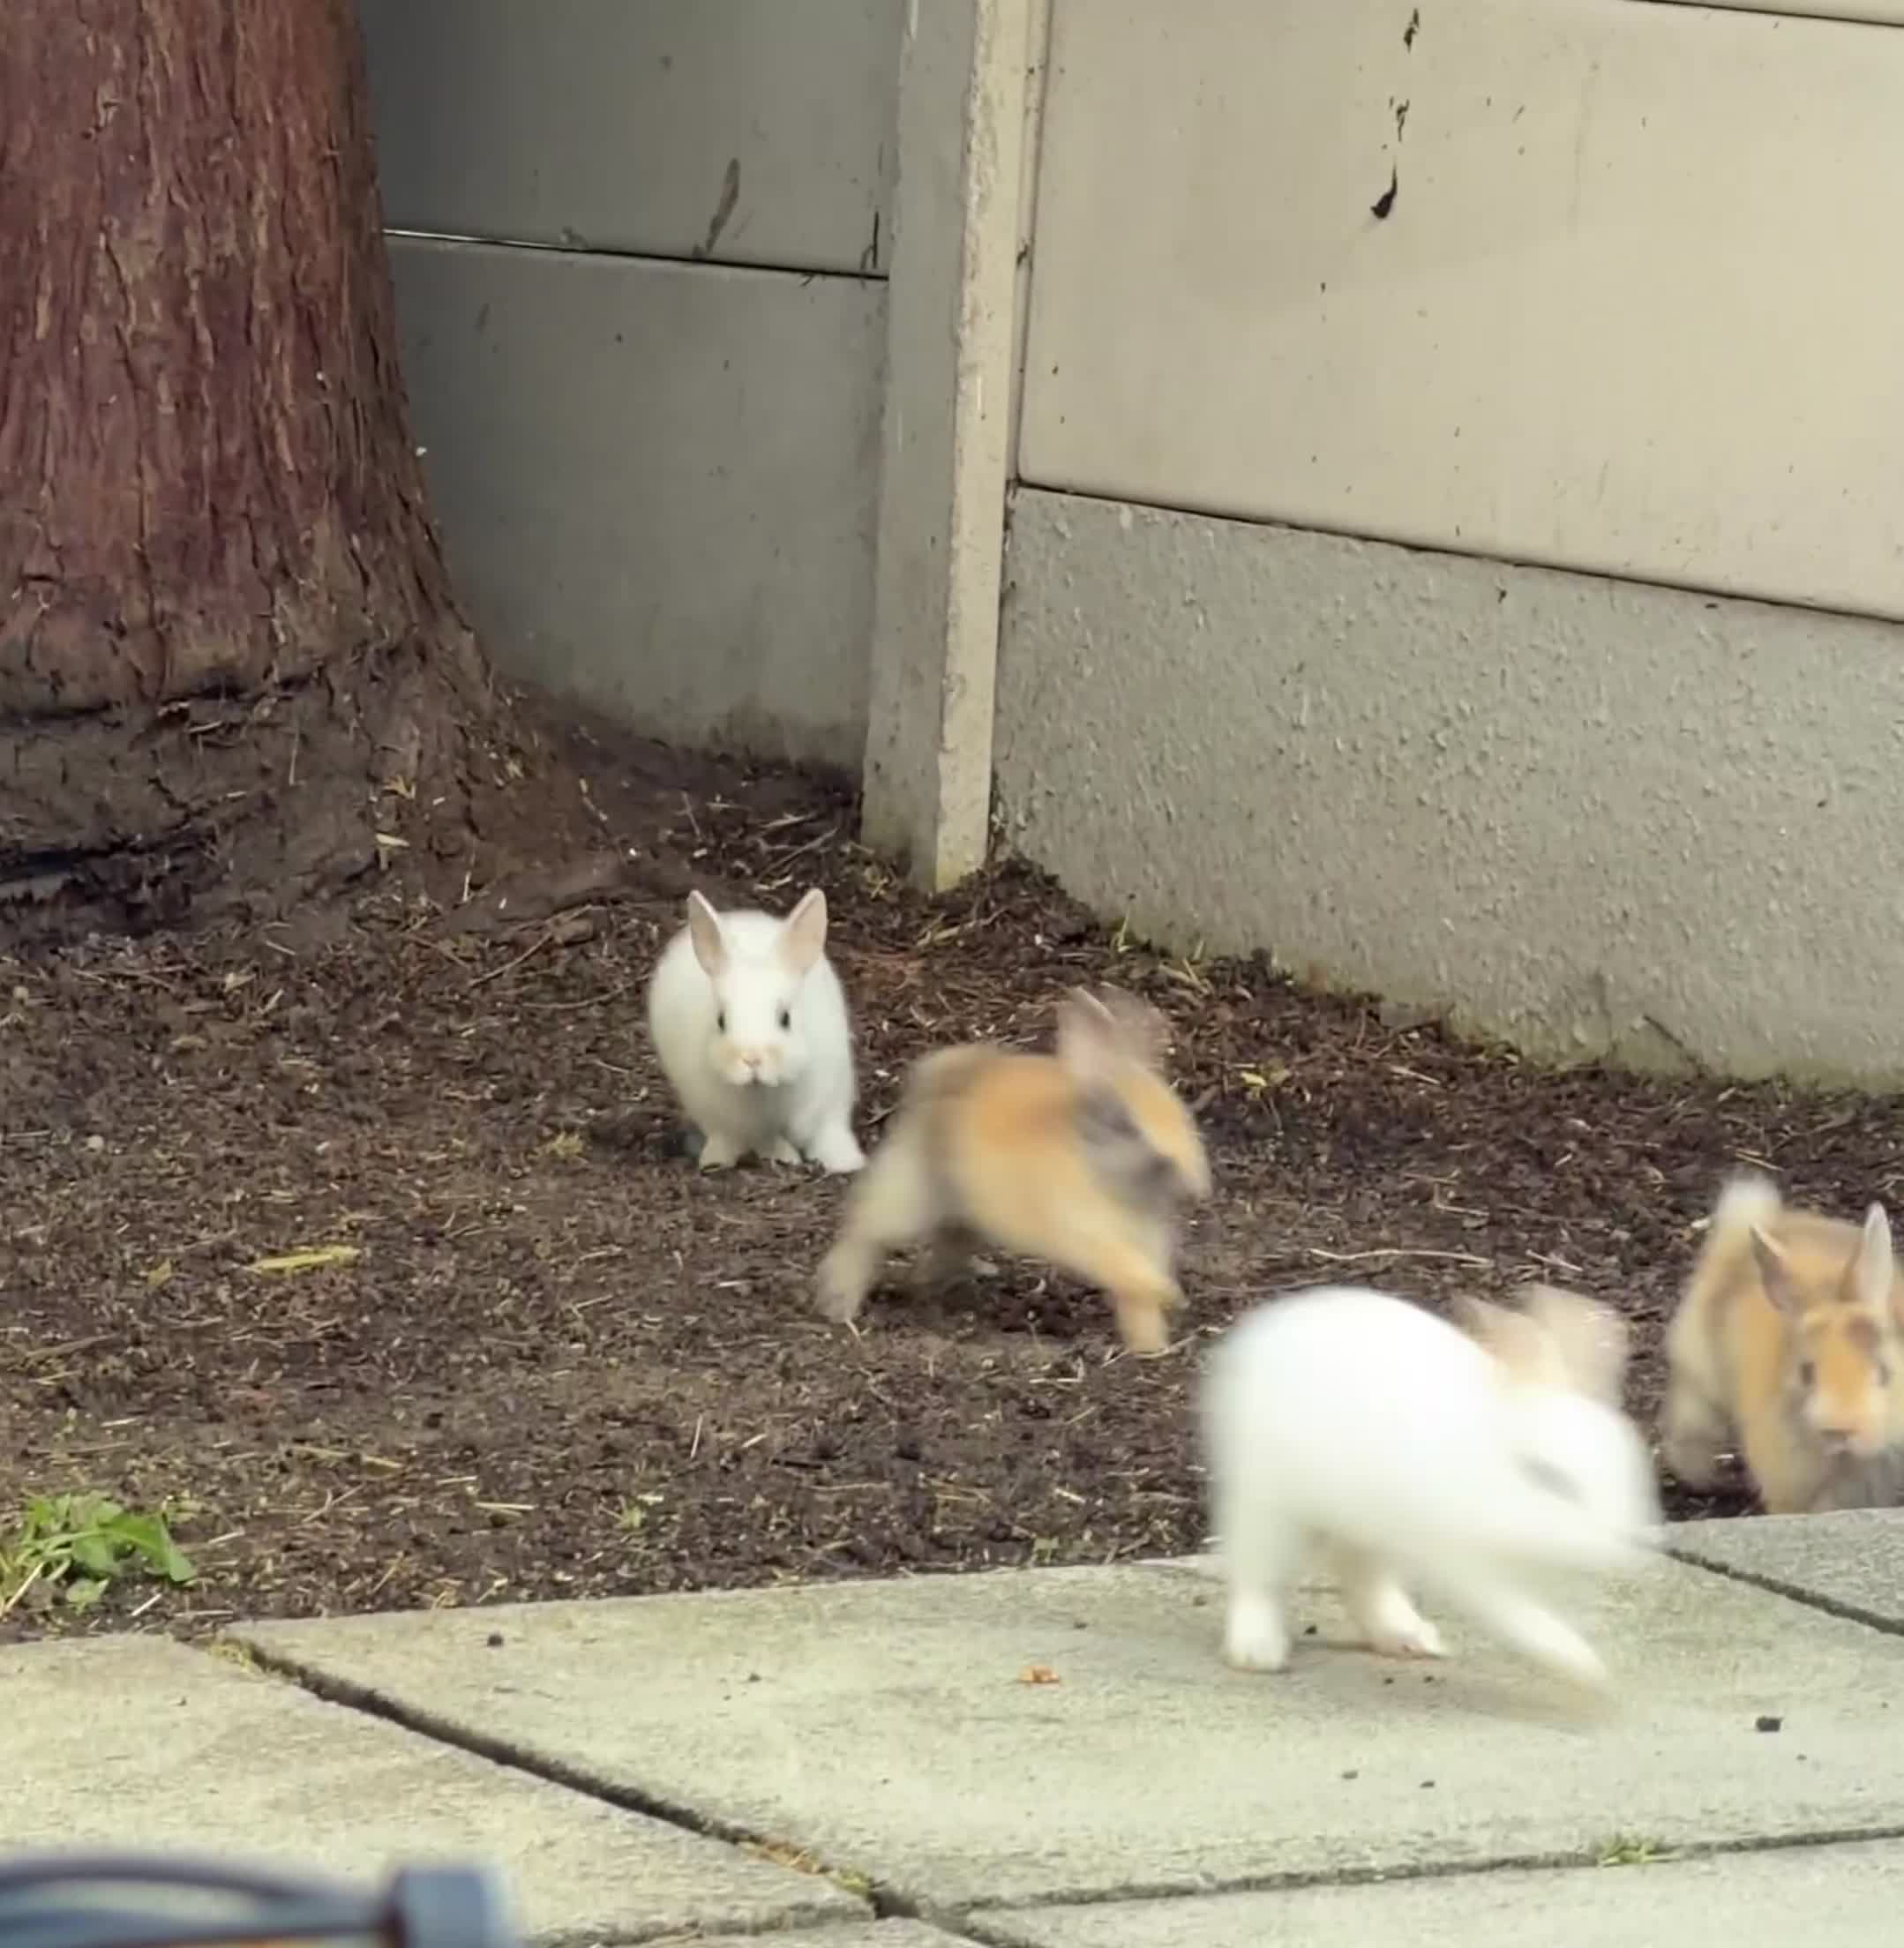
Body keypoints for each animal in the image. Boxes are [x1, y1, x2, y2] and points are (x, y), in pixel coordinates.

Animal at [644, 886, 865, 1174]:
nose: (752, 1058)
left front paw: (846, 1162)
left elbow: (828, 1134)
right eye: (721, 1021)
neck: (765, 1091)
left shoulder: (829, 1102)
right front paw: (786, 1157)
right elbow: (766, 1141)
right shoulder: (741, 1124)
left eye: (785, 1019)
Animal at [812, 985, 1211, 1353]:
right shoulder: (1088, 1234)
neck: (1096, 1164)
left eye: (1182, 1116)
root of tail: (937, 1078)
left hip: (965, 1213)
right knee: (864, 1235)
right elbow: (1131, 1273)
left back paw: (933, 1284)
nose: (1195, 1184)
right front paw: (1171, 1296)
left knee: (945, 1244)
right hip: (911, 1197)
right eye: (1127, 1126)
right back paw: (838, 1303)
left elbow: (1137, 1300)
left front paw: (1151, 1346)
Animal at [1200, 1282, 1662, 1690]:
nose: (1620, 1545)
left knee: (1362, 1575)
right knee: (1258, 1573)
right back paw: (1257, 1652)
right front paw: (1588, 1672)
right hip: (1269, 1501)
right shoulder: (1467, 1562)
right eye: (1548, 1477)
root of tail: (1260, 1332)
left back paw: (1408, 1639)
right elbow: (1523, 1619)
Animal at [1660, 1173, 1904, 1514]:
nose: (1840, 1430)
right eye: (1806, 1373)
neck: (1848, 1464)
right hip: (1702, 1388)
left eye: (1883, 1372)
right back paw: (1710, 1481)